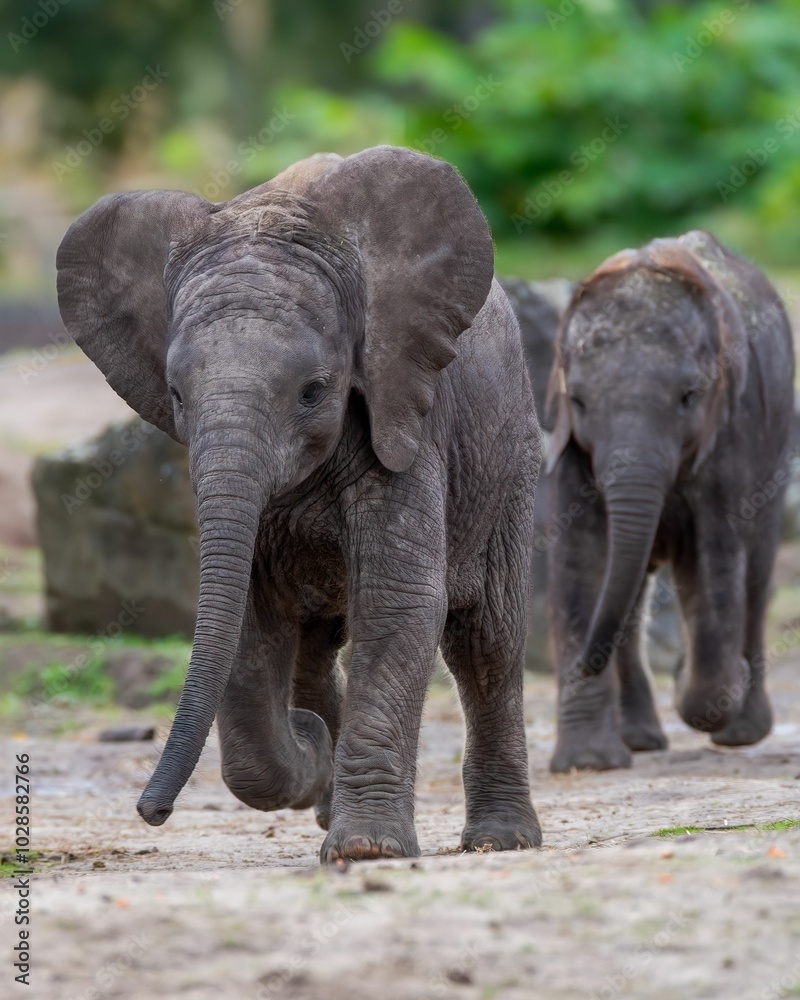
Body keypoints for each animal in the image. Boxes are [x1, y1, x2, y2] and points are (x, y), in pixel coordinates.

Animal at [56, 145, 543, 860]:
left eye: (314, 391)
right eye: (175, 395)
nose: (149, 812)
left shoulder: (406, 422)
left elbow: (399, 601)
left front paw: (365, 849)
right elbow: (248, 617)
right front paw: (311, 750)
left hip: (508, 461)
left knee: (487, 642)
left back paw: (498, 841)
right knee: (316, 651)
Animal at [545, 230, 795, 772]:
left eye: (689, 396)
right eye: (579, 402)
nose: (589, 663)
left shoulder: (733, 433)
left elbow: (716, 559)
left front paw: (696, 688)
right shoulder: (570, 445)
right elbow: (580, 557)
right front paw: (589, 763)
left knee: (755, 572)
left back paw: (738, 732)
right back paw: (639, 741)